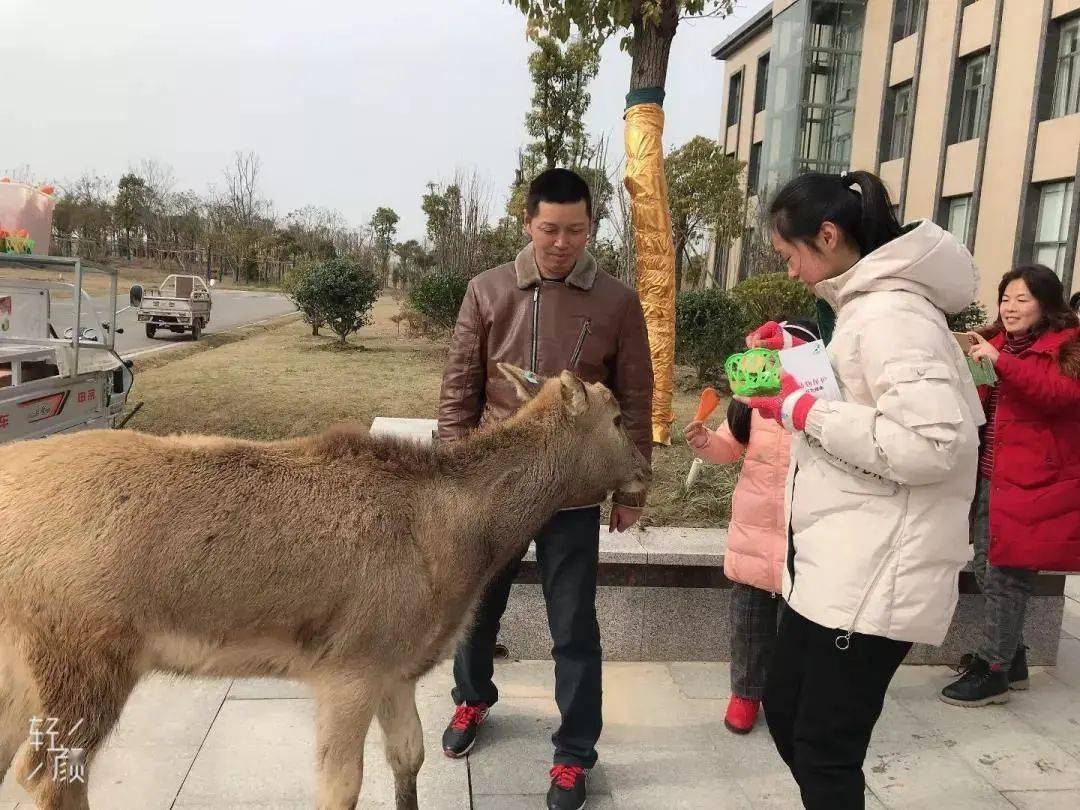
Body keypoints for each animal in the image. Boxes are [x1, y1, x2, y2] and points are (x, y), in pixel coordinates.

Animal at [0, 367, 648, 810]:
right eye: (617, 417)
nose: (647, 469)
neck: (462, 551)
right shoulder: (349, 665)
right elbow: (341, 789)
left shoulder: (396, 667)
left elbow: (408, 757)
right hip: (81, 656)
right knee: (48, 775)